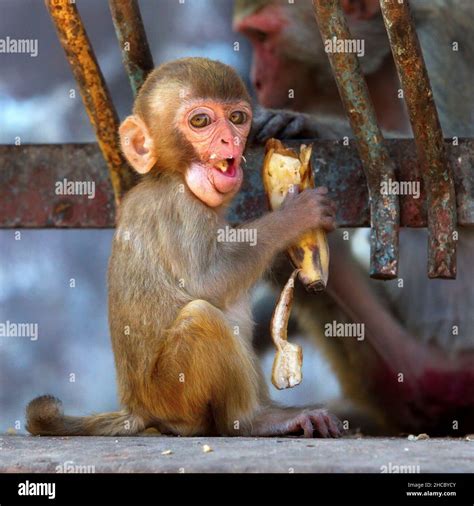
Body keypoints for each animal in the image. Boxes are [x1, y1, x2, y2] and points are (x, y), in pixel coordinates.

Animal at [26, 58, 340, 438]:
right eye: (201, 121)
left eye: (237, 117)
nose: (230, 139)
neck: (171, 176)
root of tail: (138, 409)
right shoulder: (181, 211)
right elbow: (209, 282)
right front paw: (296, 215)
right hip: (172, 395)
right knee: (202, 317)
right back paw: (256, 421)